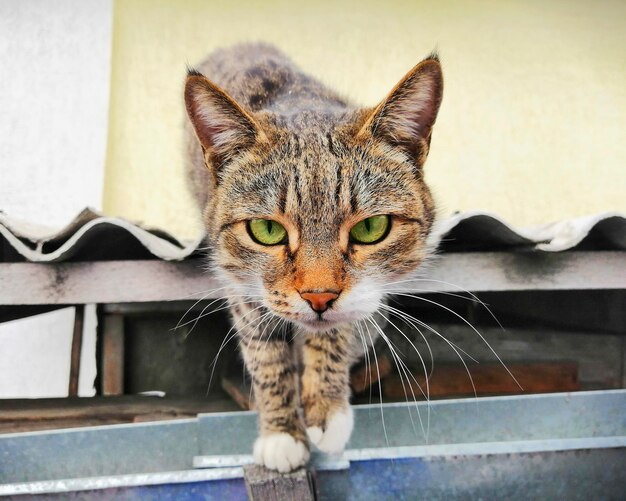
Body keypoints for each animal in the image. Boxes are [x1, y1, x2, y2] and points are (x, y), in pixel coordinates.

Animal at [183, 44, 442, 472]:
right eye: (267, 230)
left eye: (371, 228)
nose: (319, 298)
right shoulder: (239, 284)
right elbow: (265, 354)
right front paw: (282, 433)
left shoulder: (362, 300)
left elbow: (338, 331)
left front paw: (324, 406)